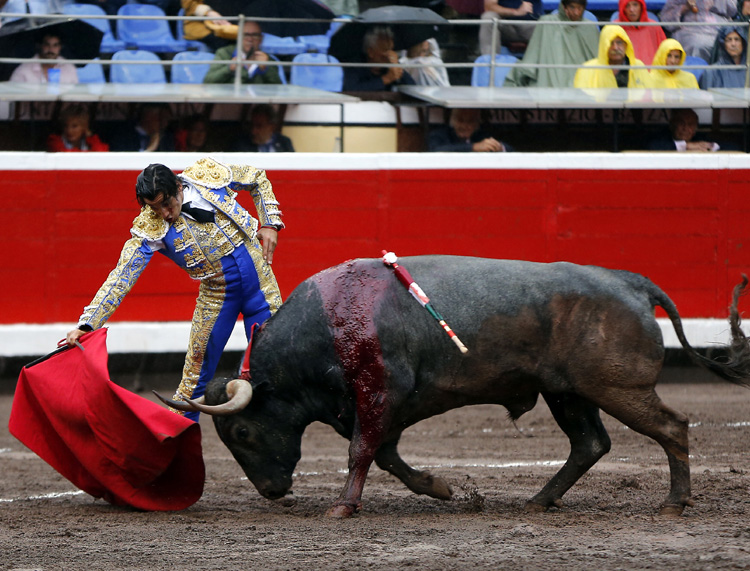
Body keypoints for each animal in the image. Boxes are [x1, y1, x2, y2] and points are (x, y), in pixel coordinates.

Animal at [159, 256, 750, 518]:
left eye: (241, 433)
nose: (271, 492)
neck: (329, 323)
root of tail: (630, 282)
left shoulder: (379, 395)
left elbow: (361, 453)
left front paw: (343, 507)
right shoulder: (380, 408)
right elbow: (385, 455)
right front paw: (439, 488)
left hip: (615, 387)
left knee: (672, 426)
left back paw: (675, 501)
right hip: (567, 393)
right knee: (591, 443)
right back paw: (539, 499)